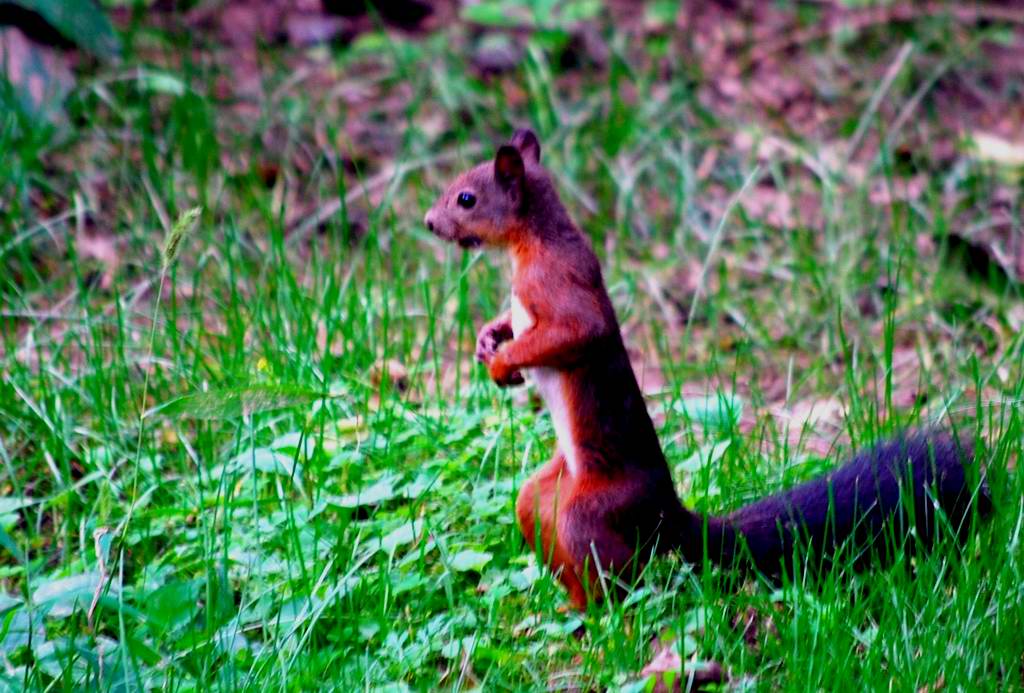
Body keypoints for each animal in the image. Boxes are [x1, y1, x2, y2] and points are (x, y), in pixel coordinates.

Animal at [423, 126, 991, 610]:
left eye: (466, 198)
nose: (429, 223)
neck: (530, 242)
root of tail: (666, 515)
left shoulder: (558, 283)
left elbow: (577, 330)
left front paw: (503, 365)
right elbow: (511, 323)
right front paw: (488, 339)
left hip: (592, 510)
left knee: (624, 572)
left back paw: (604, 617)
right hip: (544, 496)